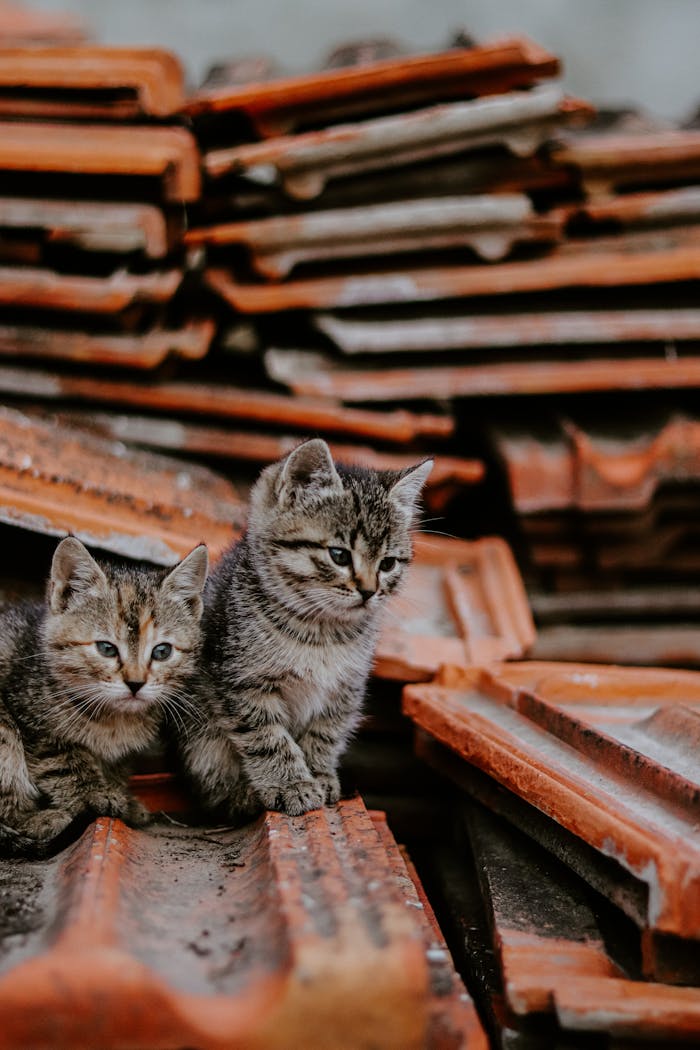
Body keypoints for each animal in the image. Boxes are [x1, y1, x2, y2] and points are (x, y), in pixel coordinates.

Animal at [0, 533, 207, 852]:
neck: (114, 719)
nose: (135, 683)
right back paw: (42, 820)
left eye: (162, 652)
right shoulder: (28, 715)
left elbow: (116, 768)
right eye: (106, 649)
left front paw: (122, 797)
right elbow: (64, 760)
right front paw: (96, 795)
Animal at [180, 438, 432, 814]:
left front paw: (320, 775)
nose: (369, 591)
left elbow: (326, 733)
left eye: (388, 564)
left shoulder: (345, 689)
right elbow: (268, 737)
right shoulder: (242, 683)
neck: (322, 631)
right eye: (339, 555)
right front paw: (292, 784)